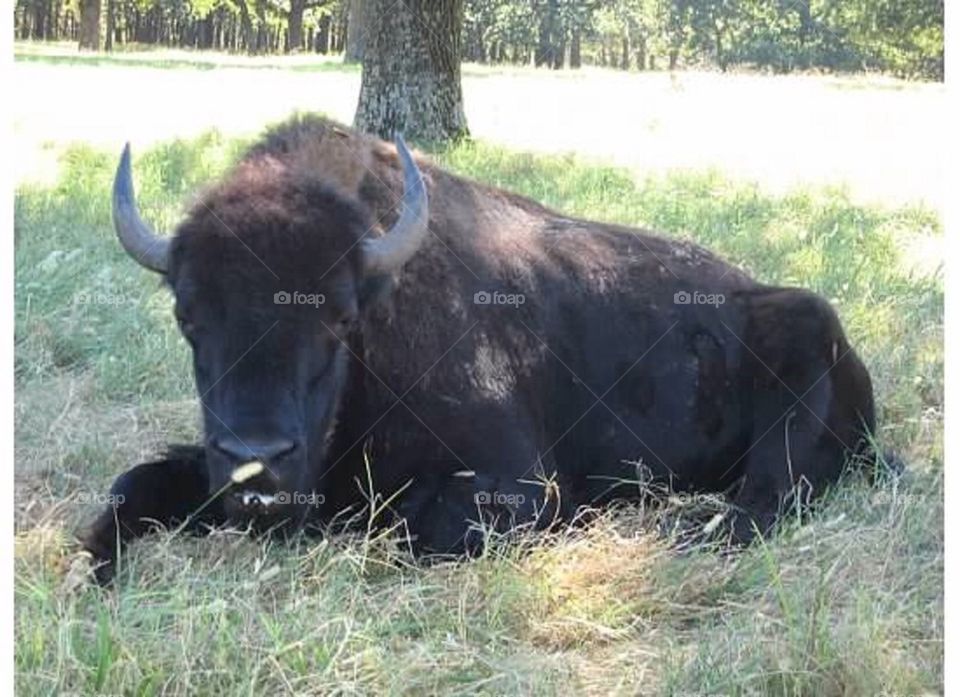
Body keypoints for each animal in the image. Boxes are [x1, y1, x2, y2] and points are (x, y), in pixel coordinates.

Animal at [82, 115, 878, 582]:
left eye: (340, 317)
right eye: (188, 314)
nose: (258, 464)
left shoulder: (515, 486)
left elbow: (407, 525)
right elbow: (131, 483)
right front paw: (94, 567)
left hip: (802, 352)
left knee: (768, 498)